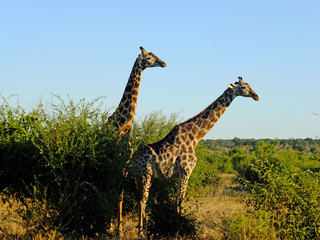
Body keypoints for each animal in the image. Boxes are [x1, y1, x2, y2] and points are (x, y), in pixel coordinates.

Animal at [106, 46, 166, 235]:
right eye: (148, 57)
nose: (163, 63)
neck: (124, 126)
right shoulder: (116, 162)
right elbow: (116, 192)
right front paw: (114, 229)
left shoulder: (125, 164)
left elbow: (120, 194)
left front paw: (119, 229)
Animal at [129, 76, 258, 232]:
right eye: (243, 87)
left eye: (250, 85)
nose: (256, 96)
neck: (196, 136)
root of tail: (133, 159)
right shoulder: (186, 170)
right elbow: (180, 200)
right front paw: (181, 227)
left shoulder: (180, 173)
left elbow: (177, 199)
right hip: (145, 174)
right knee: (143, 199)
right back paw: (141, 231)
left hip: (138, 175)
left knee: (139, 199)